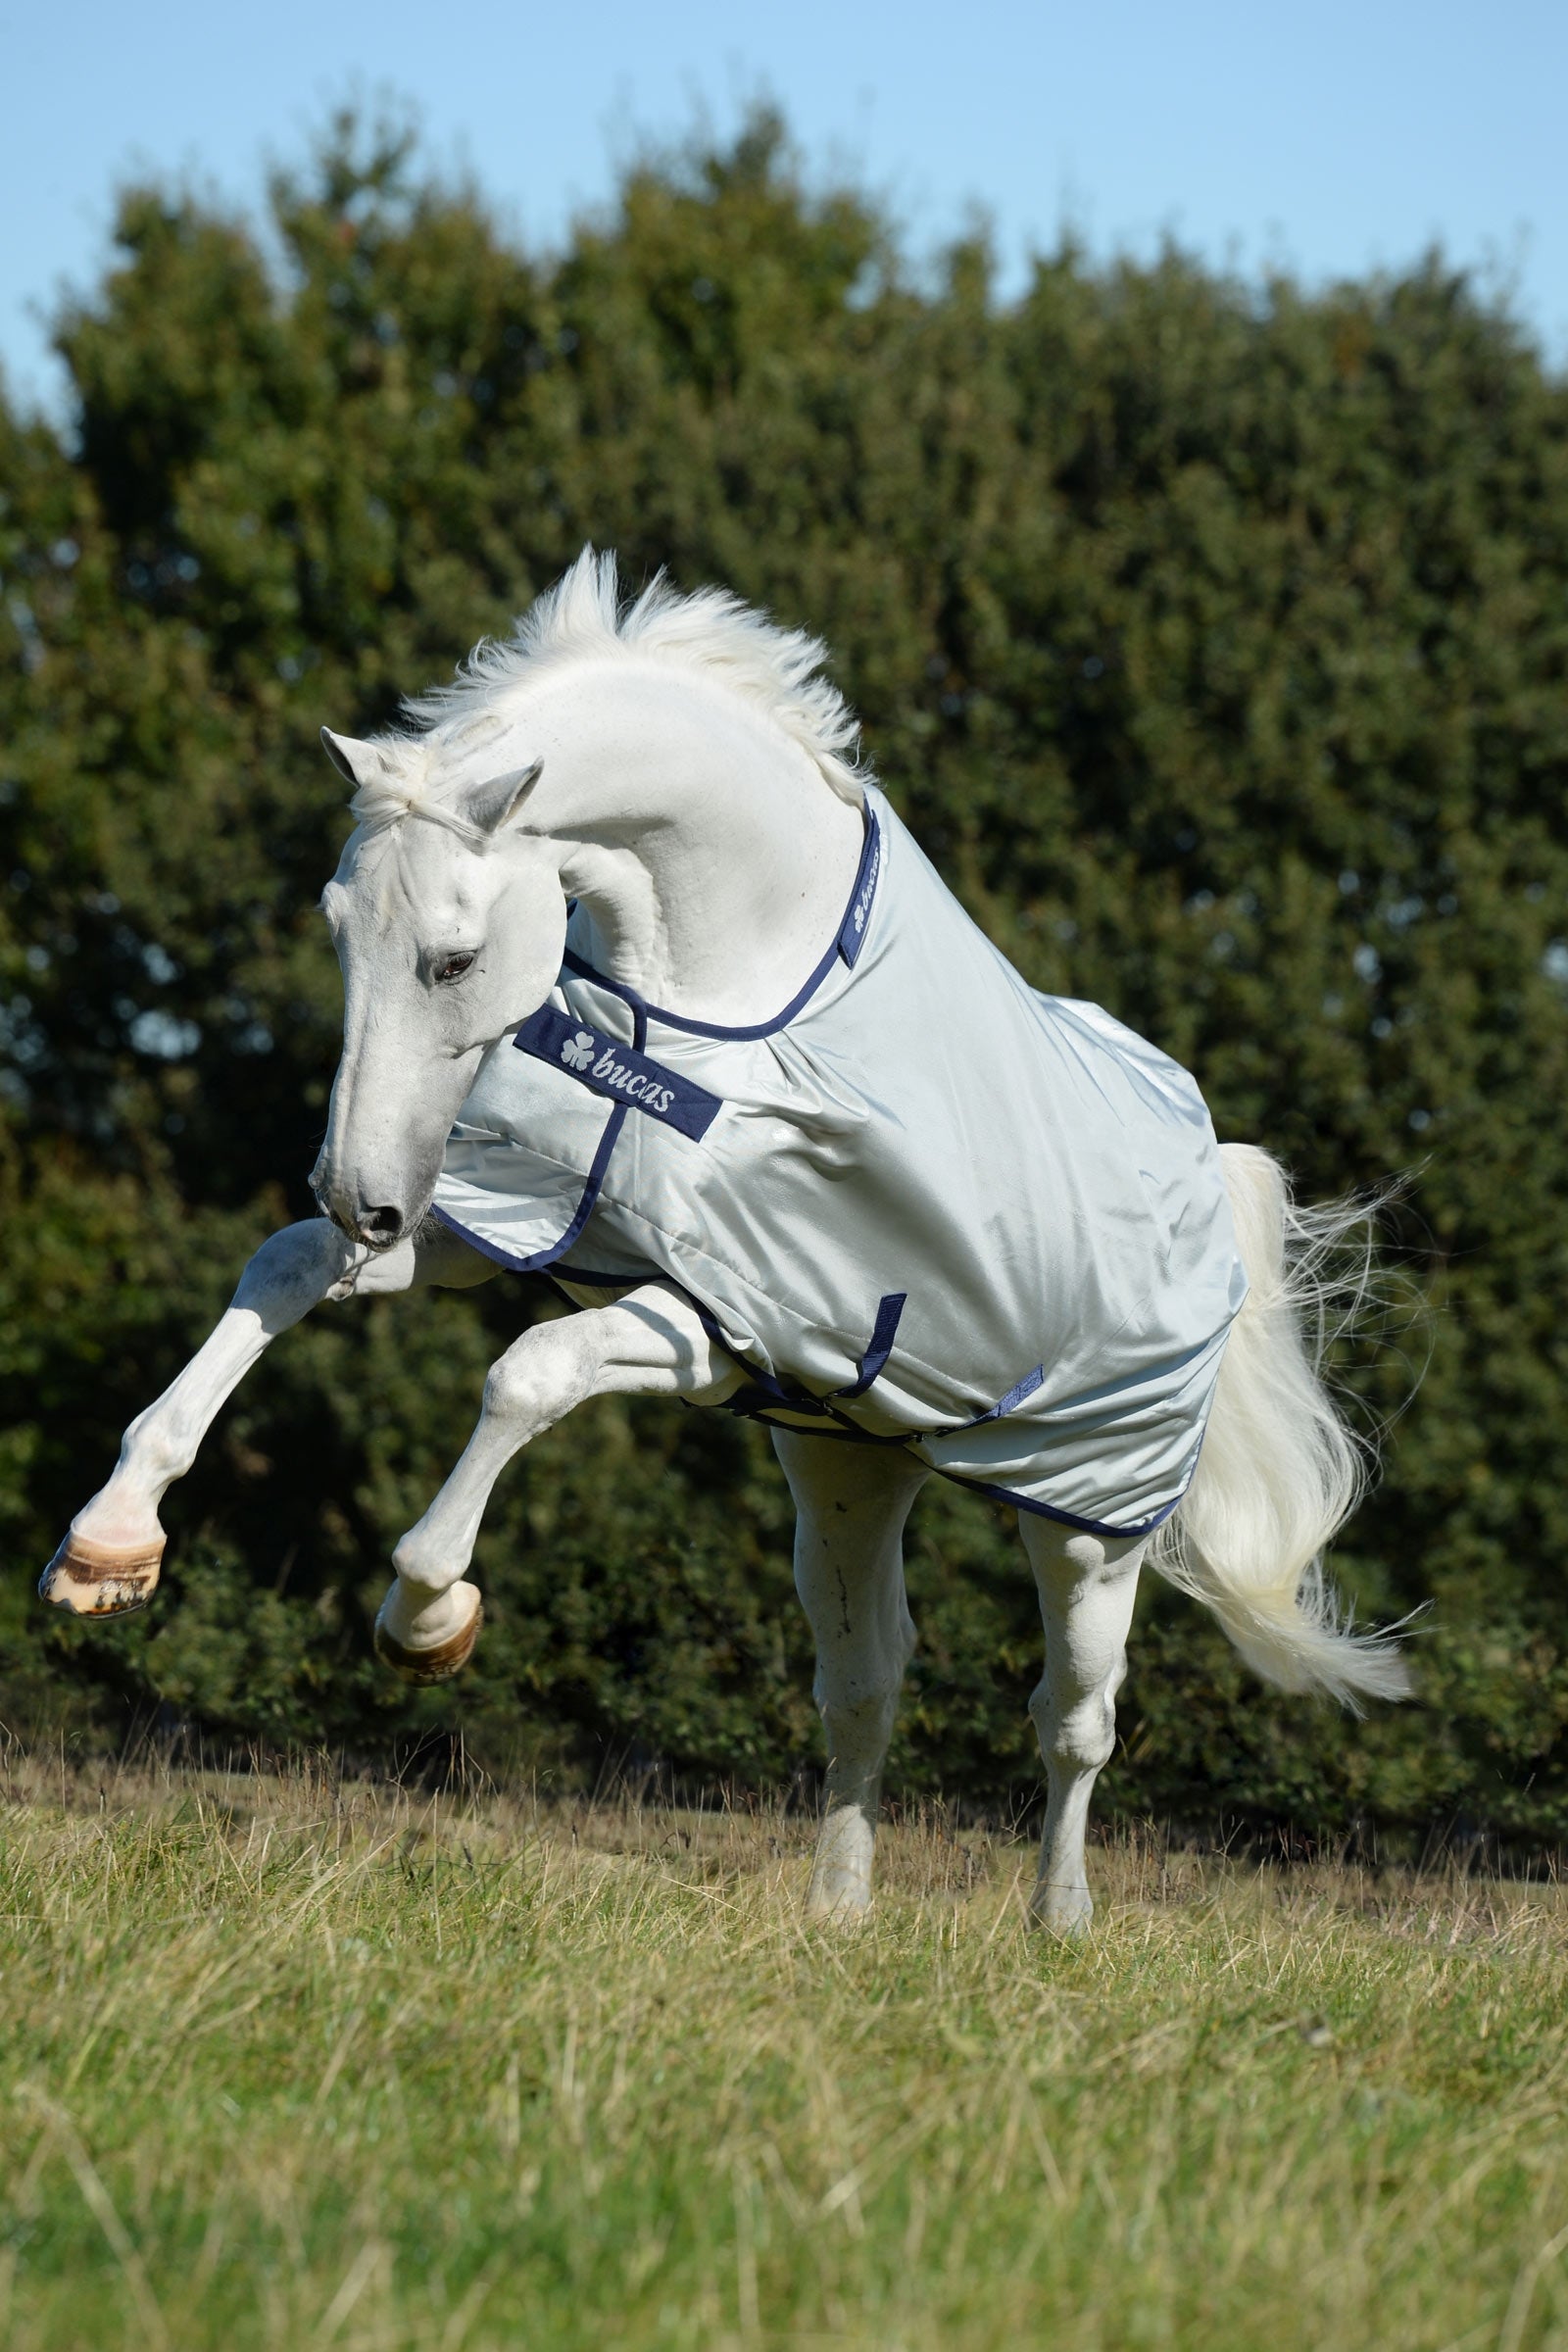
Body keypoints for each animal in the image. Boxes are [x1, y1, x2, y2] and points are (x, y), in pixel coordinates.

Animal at [41, 550, 1410, 1932]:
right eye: (334, 930)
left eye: (454, 958)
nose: (360, 1195)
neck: (727, 988)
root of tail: (1206, 1163)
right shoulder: (531, 1212)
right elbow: (285, 1268)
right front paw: (110, 1543)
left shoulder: (722, 1317)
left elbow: (527, 1374)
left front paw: (428, 1615)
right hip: (848, 1465)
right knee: (865, 1684)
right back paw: (839, 1913)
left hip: (1087, 1518)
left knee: (1074, 1720)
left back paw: (1056, 1922)